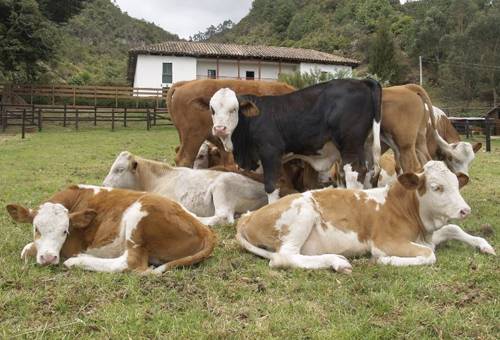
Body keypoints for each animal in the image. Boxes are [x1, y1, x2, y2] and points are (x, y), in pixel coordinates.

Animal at [5, 185, 216, 274]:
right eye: (36, 228)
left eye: (65, 231)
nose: (48, 258)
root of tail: (204, 229)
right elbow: (26, 249)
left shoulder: (69, 246)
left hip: (139, 215)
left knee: (130, 263)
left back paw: (78, 261)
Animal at [209, 78, 380, 203]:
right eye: (212, 110)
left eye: (234, 109)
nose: (220, 128)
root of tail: (360, 82)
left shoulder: (270, 153)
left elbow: (271, 186)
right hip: (365, 146)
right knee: (369, 173)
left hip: (350, 145)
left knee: (355, 173)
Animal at [237, 161, 496, 272]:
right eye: (436, 187)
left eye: (456, 184)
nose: (465, 210)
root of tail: (247, 217)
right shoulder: (386, 241)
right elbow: (428, 255)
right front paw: (385, 261)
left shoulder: (428, 235)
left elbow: (453, 229)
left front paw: (485, 245)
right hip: (302, 213)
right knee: (283, 257)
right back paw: (337, 261)